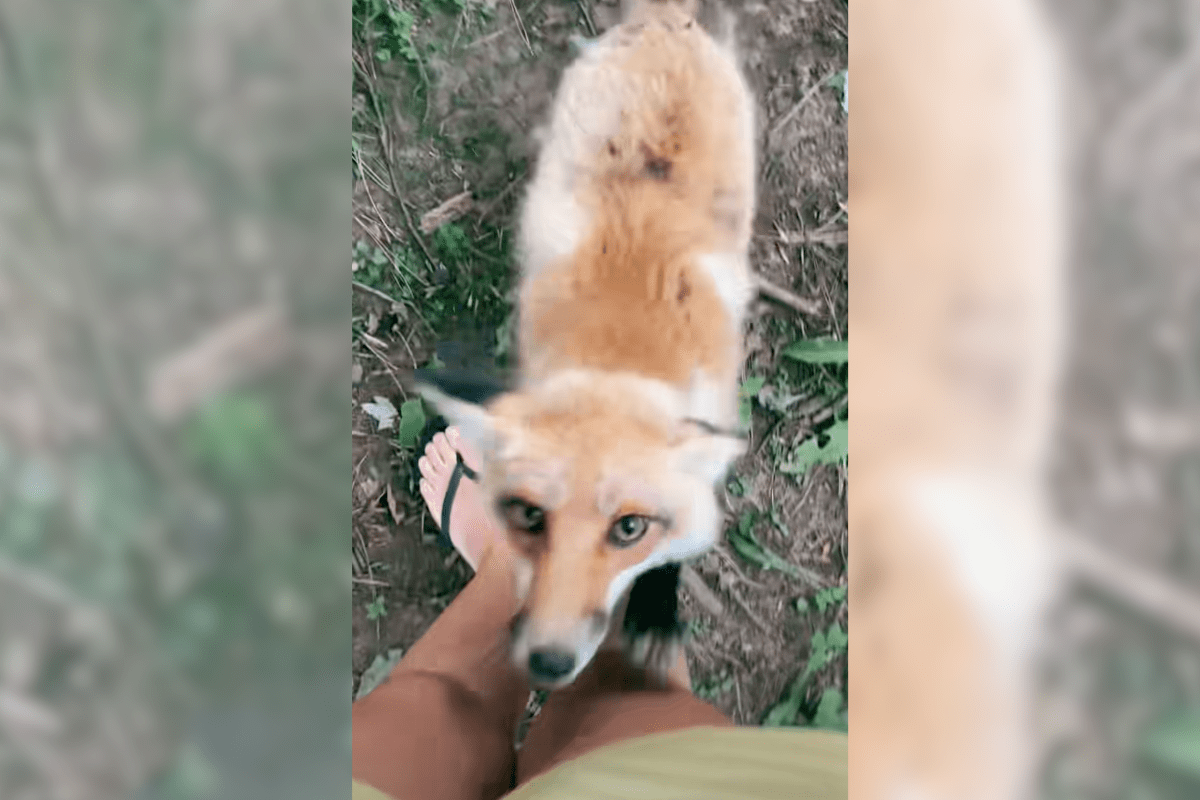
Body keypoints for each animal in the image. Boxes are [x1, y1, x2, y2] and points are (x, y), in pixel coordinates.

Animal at [418, 0, 757, 690]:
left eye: (629, 528)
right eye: (527, 516)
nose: (548, 663)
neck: (618, 359)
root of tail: (666, 21)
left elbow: (674, 551)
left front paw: (656, 610)